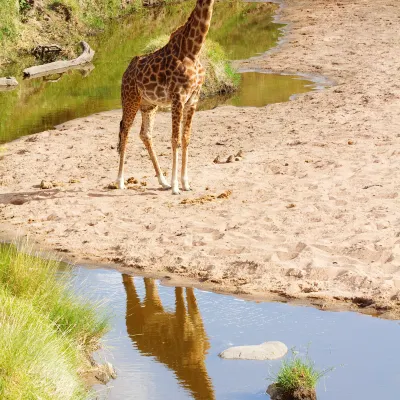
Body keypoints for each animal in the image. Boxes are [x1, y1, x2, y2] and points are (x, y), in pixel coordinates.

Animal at [116, 0, 216, 195]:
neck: (193, 50)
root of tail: (126, 72)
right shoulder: (178, 97)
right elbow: (174, 139)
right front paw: (176, 186)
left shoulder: (193, 98)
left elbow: (186, 138)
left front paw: (185, 183)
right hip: (130, 98)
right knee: (124, 129)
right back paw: (120, 181)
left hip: (149, 104)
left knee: (145, 134)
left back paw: (162, 181)